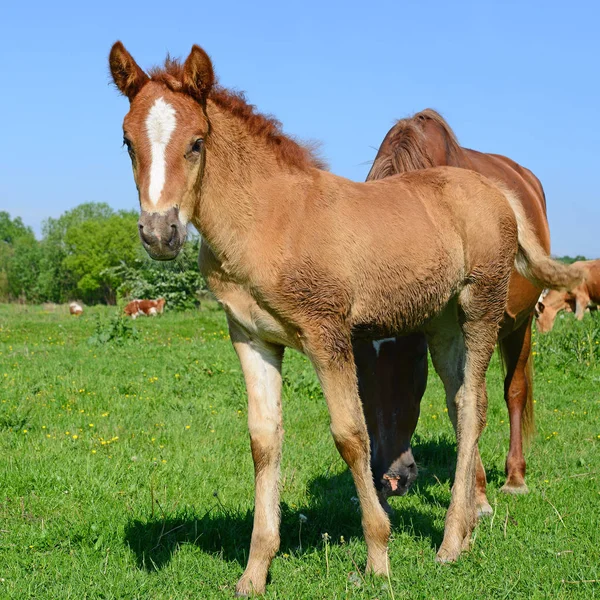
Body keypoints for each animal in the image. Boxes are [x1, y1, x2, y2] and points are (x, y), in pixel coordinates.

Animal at [358, 110, 552, 508]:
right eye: (358, 367)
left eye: (414, 360)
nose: (389, 478)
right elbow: (455, 401)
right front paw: (474, 491)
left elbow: (471, 400)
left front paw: (476, 497)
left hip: (522, 323)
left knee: (515, 390)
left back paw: (515, 477)